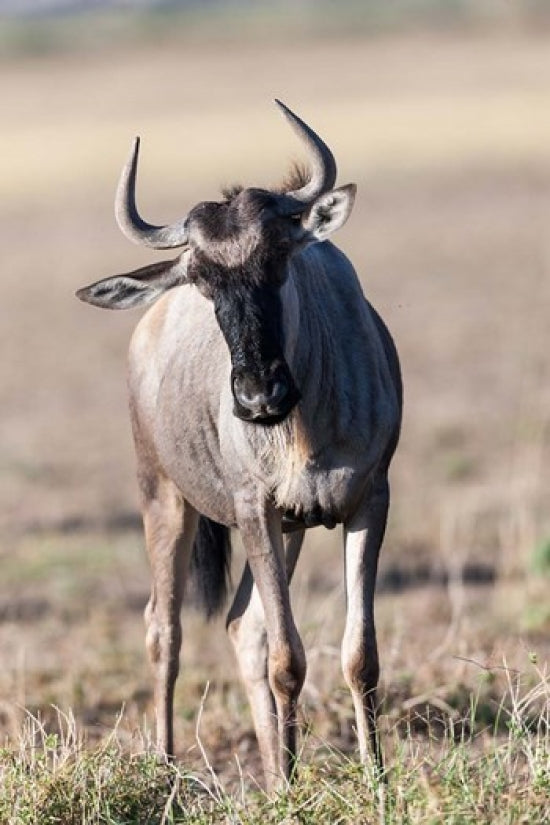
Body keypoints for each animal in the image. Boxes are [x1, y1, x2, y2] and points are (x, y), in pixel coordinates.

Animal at [77, 101, 402, 790]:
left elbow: (358, 655)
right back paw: (168, 769)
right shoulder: (256, 509)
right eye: (202, 278)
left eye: (278, 255)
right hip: (163, 500)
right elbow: (287, 658)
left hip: (293, 527)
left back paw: (274, 770)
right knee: (164, 628)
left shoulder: (368, 501)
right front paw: (296, 788)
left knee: (241, 625)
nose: (257, 398)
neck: (305, 423)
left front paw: (375, 781)